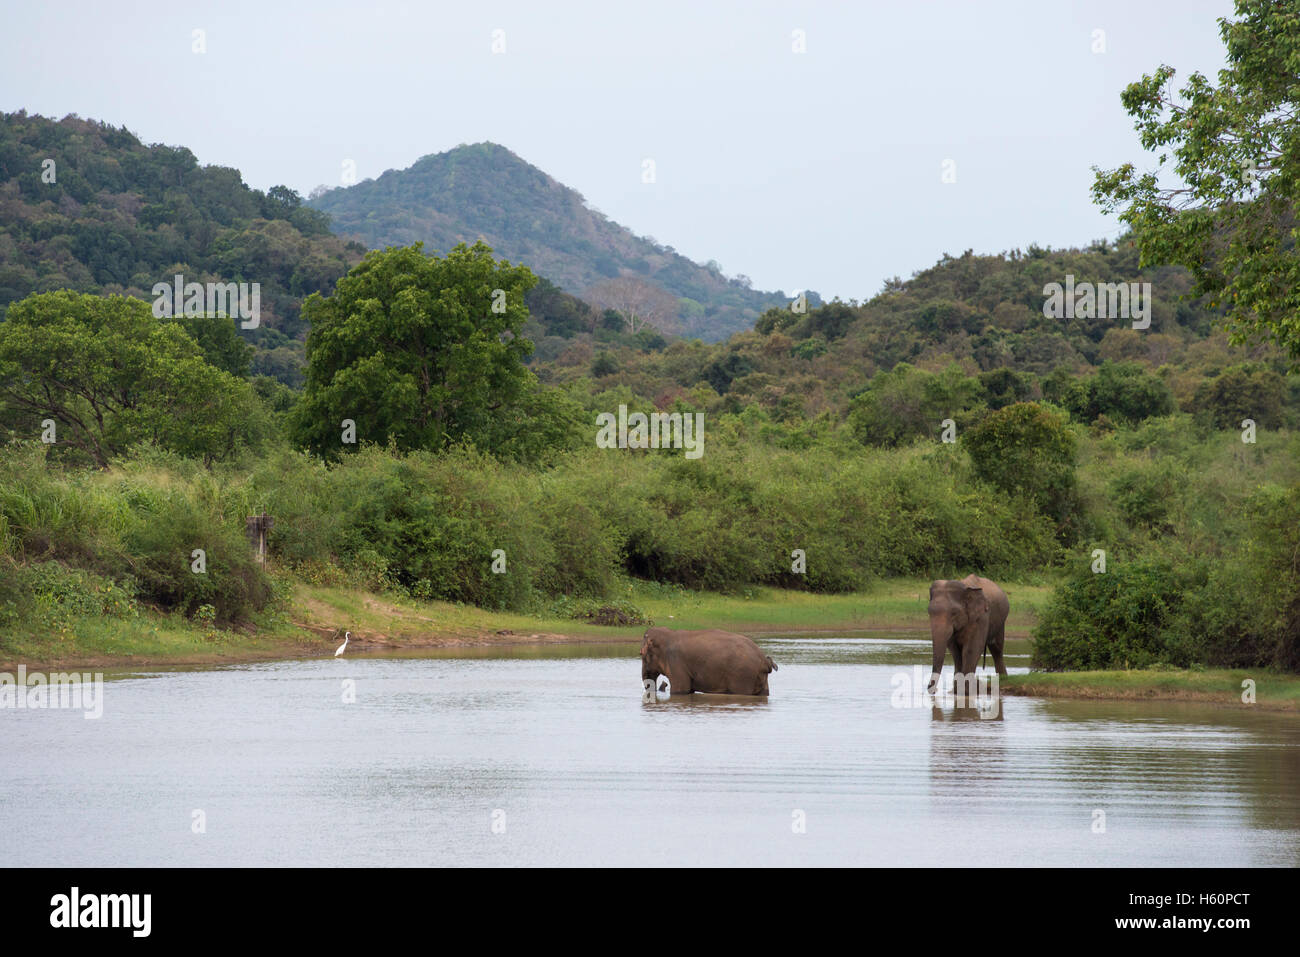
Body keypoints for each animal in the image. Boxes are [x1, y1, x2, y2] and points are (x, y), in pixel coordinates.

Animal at [639, 627, 777, 696]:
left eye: (641, 654)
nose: (664, 684)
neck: (669, 634)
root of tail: (764, 661)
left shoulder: (676, 663)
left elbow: (681, 690)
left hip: (743, 675)